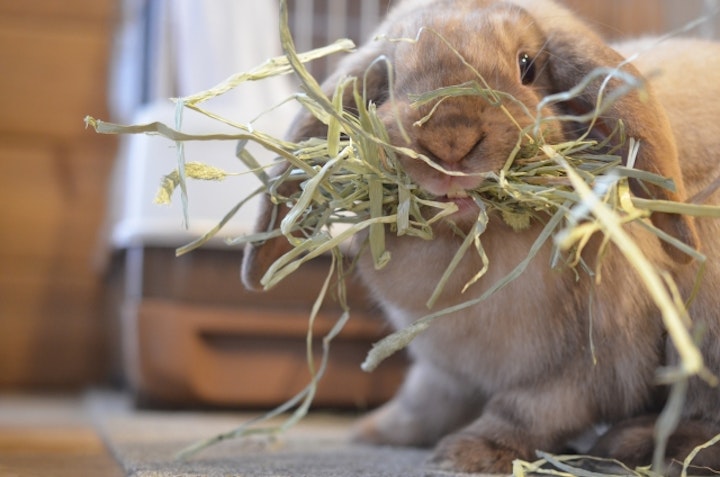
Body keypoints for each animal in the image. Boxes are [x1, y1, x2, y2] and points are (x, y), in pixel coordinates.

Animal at [242, 0, 720, 472]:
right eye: (390, 79)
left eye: (527, 66)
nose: (450, 141)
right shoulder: (442, 368)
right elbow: (423, 401)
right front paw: (374, 432)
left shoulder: (581, 371)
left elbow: (526, 412)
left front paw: (467, 454)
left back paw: (639, 444)